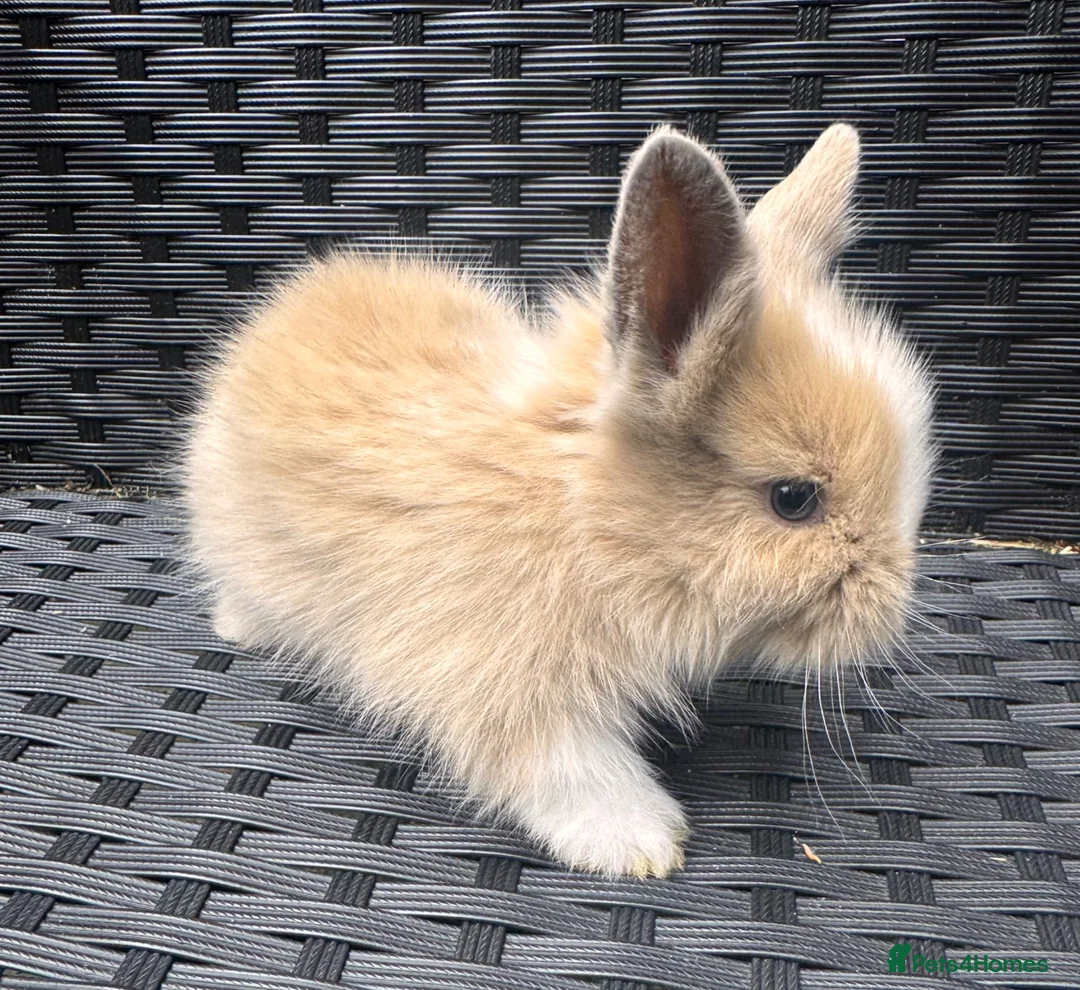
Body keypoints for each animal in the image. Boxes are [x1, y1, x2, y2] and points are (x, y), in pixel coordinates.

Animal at [181, 123, 935, 878]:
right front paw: (642, 843)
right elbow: (568, 769)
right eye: (794, 499)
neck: (583, 521)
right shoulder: (504, 685)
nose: (891, 614)